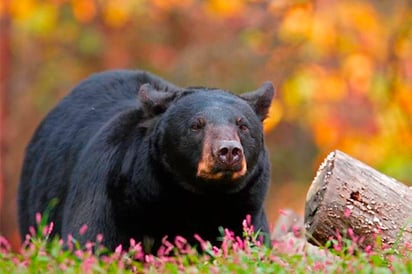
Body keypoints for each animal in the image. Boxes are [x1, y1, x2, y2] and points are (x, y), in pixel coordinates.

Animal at [18, 69, 274, 252]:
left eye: (243, 125)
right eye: (196, 125)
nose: (228, 151)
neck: (197, 198)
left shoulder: (245, 210)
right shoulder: (111, 193)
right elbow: (93, 239)